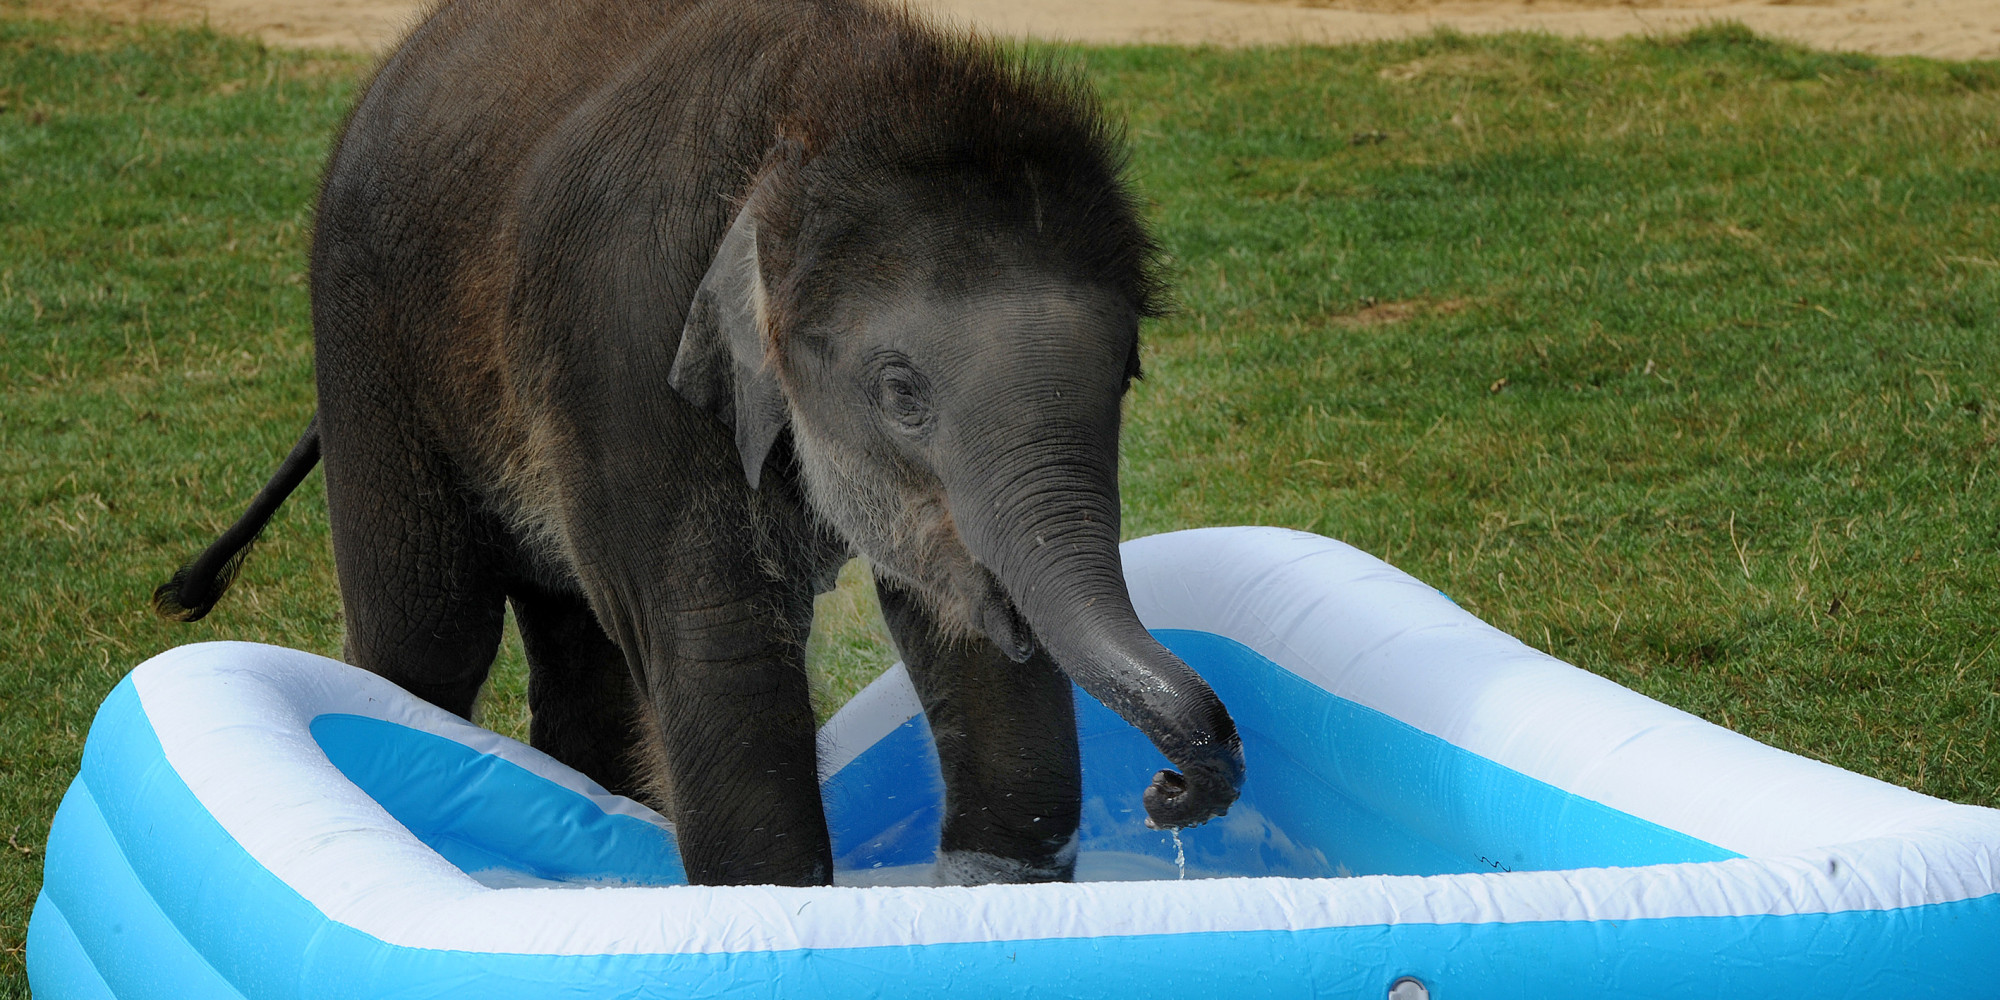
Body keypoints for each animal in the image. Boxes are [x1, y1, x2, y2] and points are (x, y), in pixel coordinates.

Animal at [153, 0, 1244, 887]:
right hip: (367, 344)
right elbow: (720, 651)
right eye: (901, 392)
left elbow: (967, 644)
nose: (1170, 791)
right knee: (426, 640)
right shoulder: (626, 340)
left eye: (1126, 370)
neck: (817, 114)